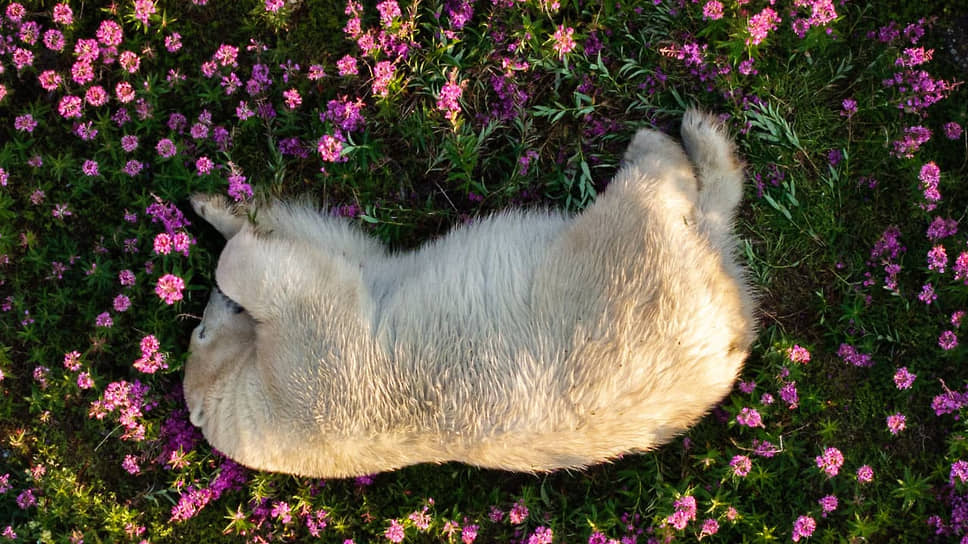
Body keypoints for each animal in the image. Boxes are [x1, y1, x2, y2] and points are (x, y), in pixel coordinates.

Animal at [183, 109, 756, 476]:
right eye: (201, 332)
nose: (208, 306)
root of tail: (725, 339)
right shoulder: (312, 379)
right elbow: (293, 274)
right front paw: (227, 230)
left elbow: (338, 247)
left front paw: (214, 207)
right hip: (624, 269)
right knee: (659, 200)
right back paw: (675, 140)